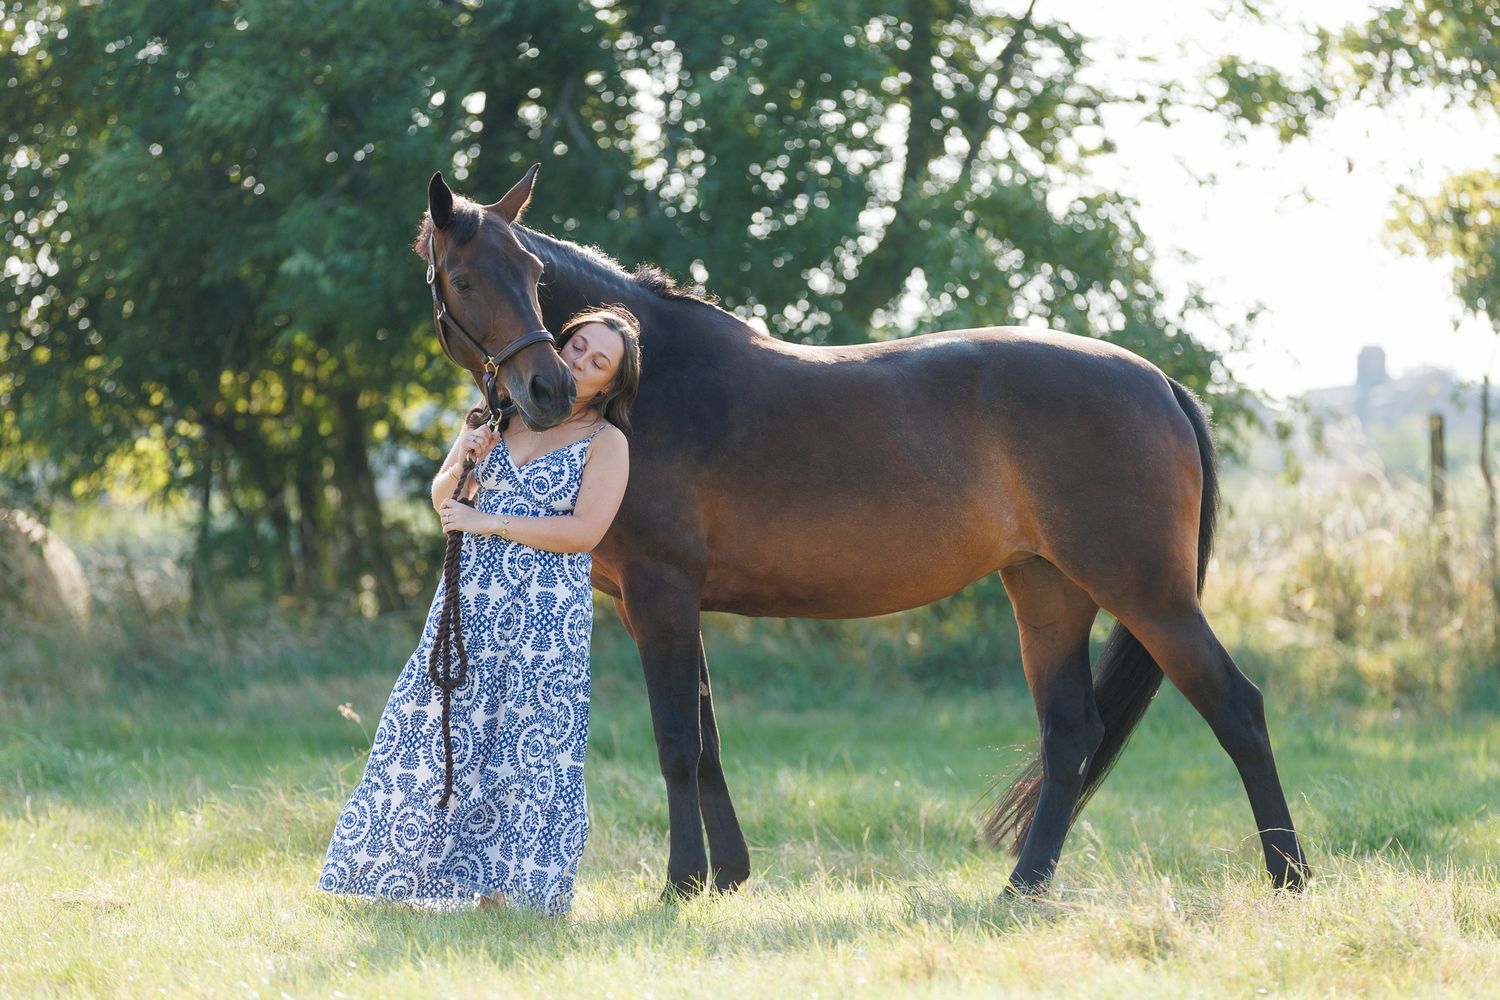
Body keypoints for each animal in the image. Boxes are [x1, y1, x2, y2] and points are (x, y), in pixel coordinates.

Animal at [417, 166, 1311, 899]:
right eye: (463, 277)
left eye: (534, 274)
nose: (546, 388)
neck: (652, 384)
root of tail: (1160, 382)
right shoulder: (670, 602)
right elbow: (707, 738)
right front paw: (727, 876)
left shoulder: (659, 592)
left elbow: (675, 739)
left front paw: (680, 885)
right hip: (1048, 591)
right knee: (1070, 734)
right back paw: (1021, 888)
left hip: (1149, 594)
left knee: (1236, 708)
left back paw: (1289, 876)